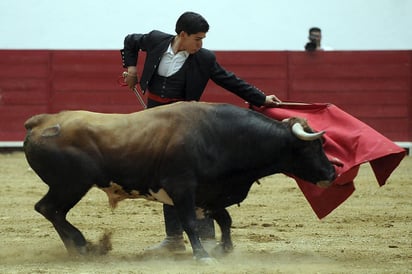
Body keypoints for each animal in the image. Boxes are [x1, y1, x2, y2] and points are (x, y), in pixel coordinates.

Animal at [23, 101, 334, 262]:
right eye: (313, 148)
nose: (332, 173)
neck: (221, 135)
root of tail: (41, 121)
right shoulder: (183, 188)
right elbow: (190, 222)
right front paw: (203, 255)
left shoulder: (210, 192)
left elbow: (224, 219)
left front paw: (225, 249)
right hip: (71, 185)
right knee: (49, 209)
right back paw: (81, 246)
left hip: (68, 186)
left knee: (51, 210)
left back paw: (80, 248)